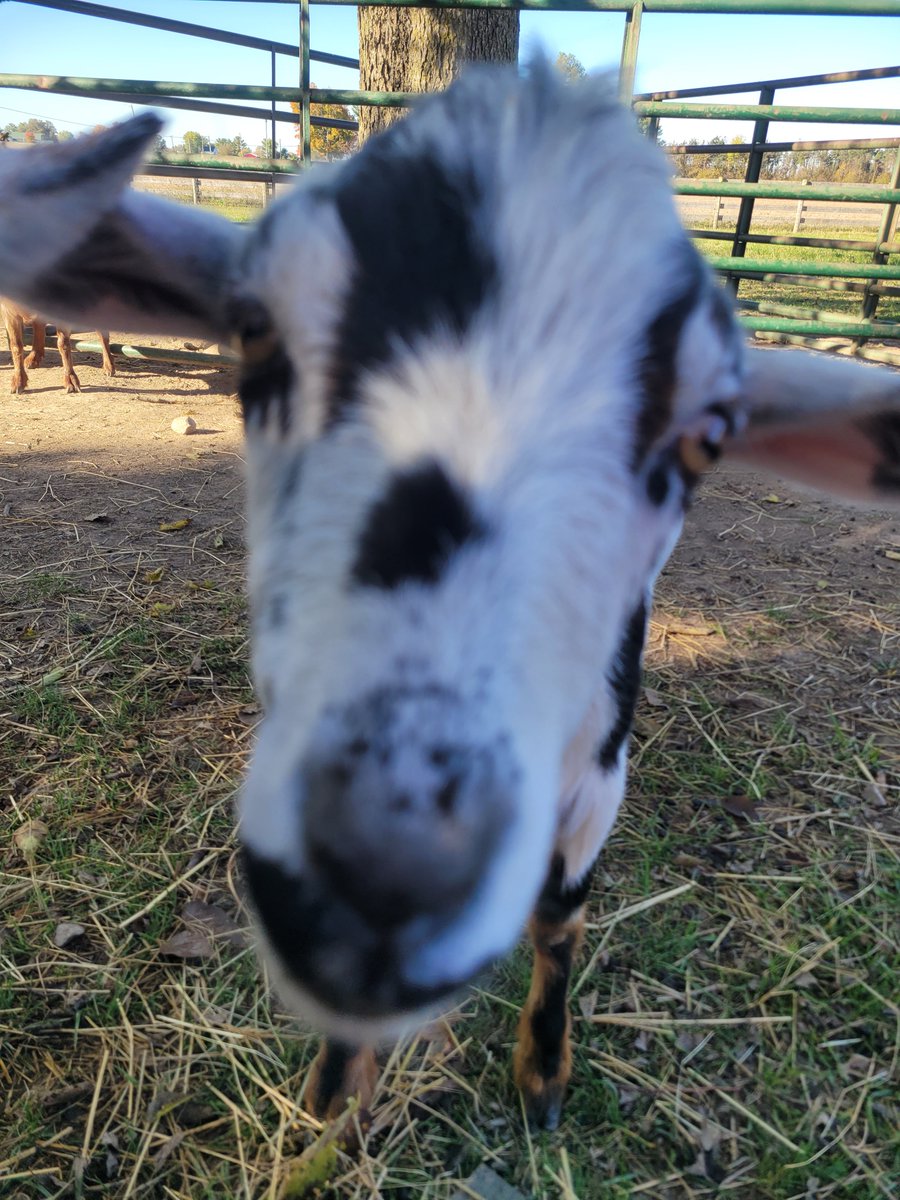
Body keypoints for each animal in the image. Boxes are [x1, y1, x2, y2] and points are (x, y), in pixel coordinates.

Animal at [0, 61, 898, 1131]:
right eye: (253, 333)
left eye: (710, 434)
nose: (389, 868)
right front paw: (337, 1091)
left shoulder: (595, 777)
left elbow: (559, 918)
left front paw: (542, 1075)